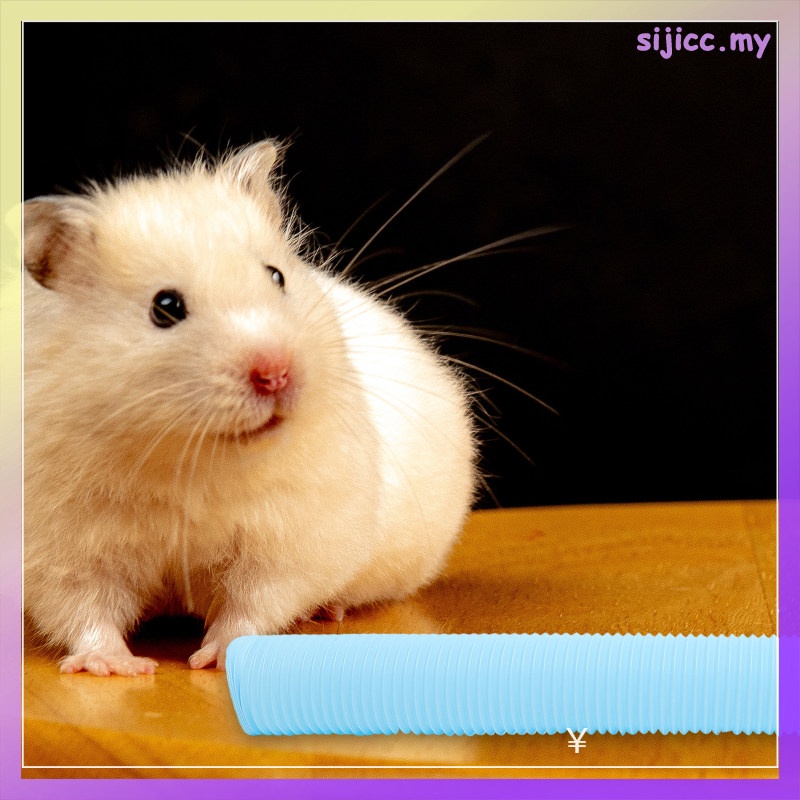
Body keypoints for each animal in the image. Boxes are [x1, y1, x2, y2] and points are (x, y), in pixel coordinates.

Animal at [23, 140, 477, 676]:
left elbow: (253, 604)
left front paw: (213, 658)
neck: (189, 458)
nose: (276, 374)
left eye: (276, 276)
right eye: (165, 307)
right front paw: (117, 666)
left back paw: (329, 609)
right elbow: (84, 609)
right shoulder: (62, 549)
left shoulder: (289, 538)